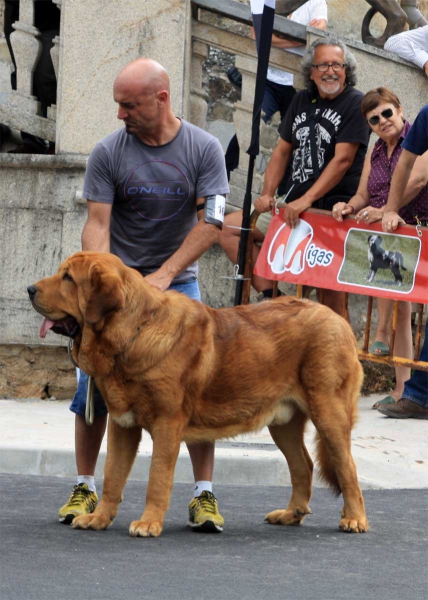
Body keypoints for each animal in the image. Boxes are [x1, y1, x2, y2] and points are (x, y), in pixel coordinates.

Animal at [27, 251, 368, 536]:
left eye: (68, 278)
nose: (29, 289)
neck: (134, 332)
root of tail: (339, 320)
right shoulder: (123, 425)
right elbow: (112, 474)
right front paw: (99, 519)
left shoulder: (167, 426)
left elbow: (157, 478)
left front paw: (149, 523)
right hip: (283, 423)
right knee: (303, 465)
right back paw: (291, 514)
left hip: (329, 414)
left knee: (347, 468)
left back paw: (354, 519)